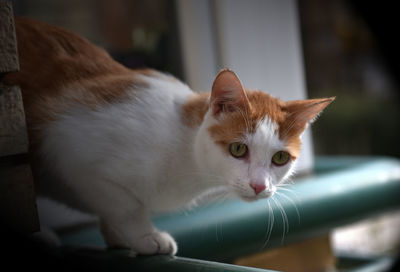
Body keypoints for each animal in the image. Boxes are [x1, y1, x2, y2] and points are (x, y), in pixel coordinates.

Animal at [3, 16, 334, 255]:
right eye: (238, 149)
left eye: (280, 158)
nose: (259, 186)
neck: (185, 153)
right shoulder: (71, 151)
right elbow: (125, 206)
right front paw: (145, 236)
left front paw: (119, 236)